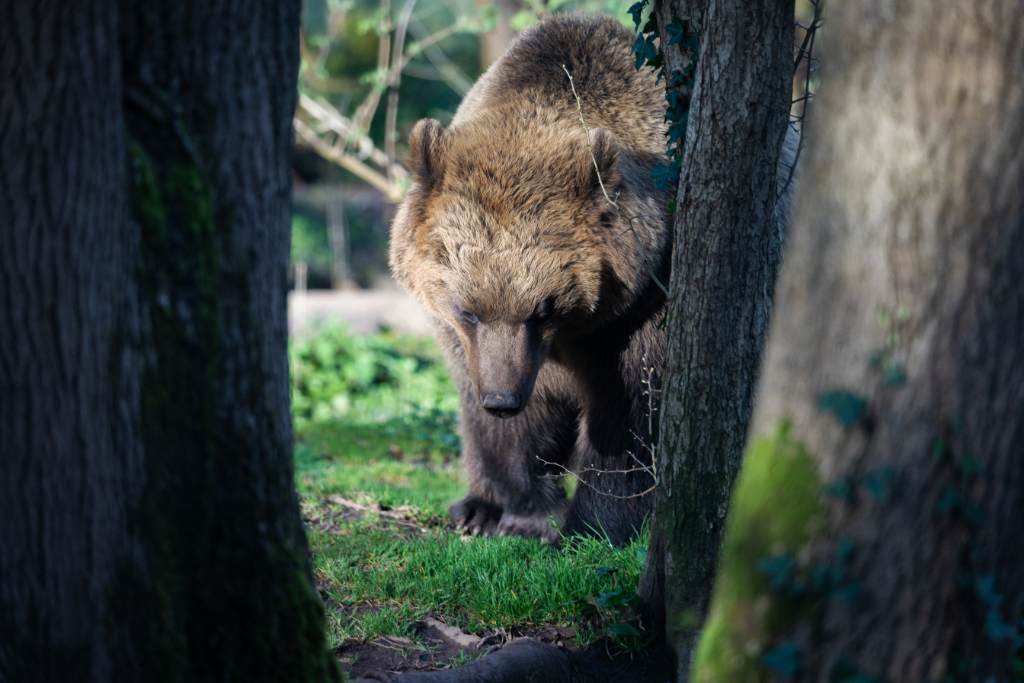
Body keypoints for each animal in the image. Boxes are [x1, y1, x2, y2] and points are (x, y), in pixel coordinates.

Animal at [390, 14, 797, 546]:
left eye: (544, 309)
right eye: (468, 309)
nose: (502, 399)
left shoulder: (644, 303)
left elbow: (629, 418)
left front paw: (587, 525)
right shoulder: (465, 339)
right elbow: (498, 420)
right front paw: (505, 509)